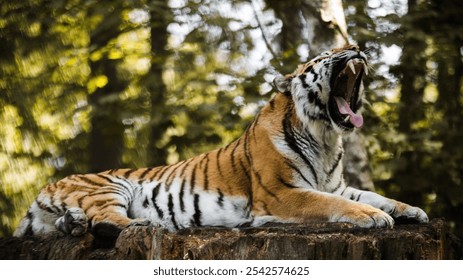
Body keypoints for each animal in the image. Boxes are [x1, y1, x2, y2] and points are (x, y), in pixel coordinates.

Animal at [13, 44, 428, 237]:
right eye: (327, 54)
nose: (356, 47)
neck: (326, 138)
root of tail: (47, 186)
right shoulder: (281, 193)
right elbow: (331, 203)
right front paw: (374, 218)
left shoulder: (336, 183)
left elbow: (372, 194)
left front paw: (410, 210)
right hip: (108, 185)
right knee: (108, 218)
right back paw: (147, 224)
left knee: (76, 221)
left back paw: (73, 224)